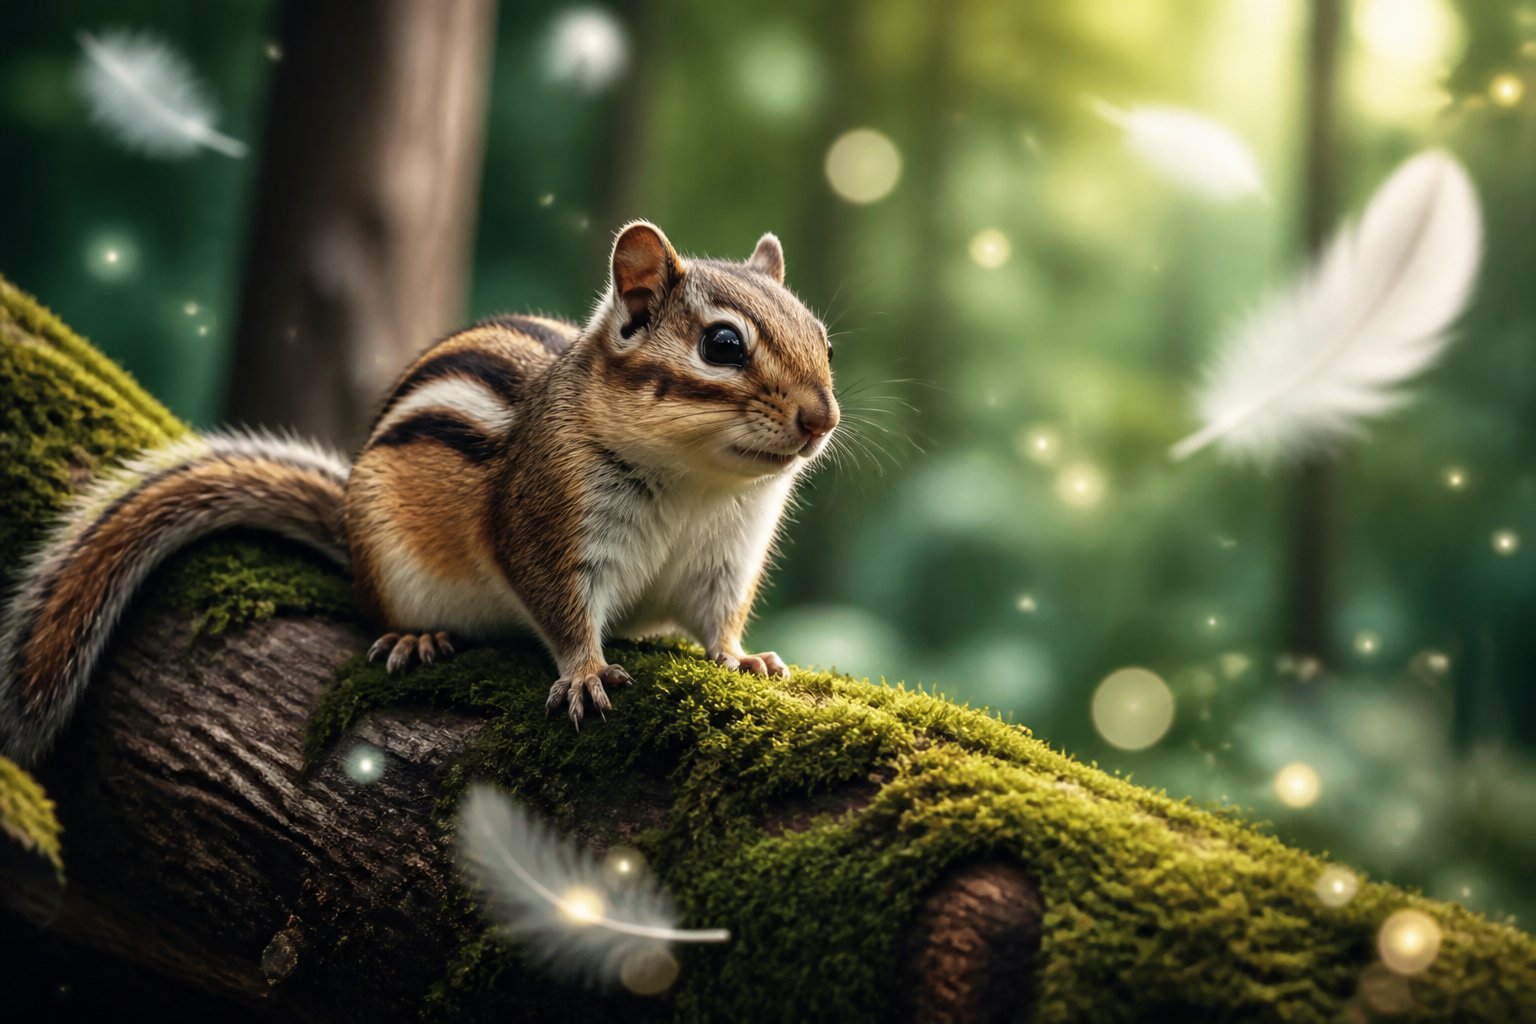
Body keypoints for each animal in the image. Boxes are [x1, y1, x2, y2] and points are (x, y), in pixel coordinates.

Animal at [0, 222, 838, 765]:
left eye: (824, 339)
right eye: (722, 345)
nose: (821, 418)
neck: (697, 482)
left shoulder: (725, 556)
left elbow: (717, 618)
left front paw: (744, 658)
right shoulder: (546, 523)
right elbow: (562, 610)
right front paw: (585, 672)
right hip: (388, 558)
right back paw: (417, 638)